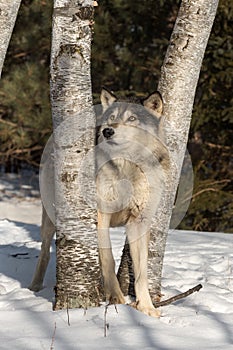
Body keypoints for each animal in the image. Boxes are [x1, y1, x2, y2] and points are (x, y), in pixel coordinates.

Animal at [30, 88, 170, 318]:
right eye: (111, 118)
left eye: (132, 119)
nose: (107, 131)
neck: (127, 168)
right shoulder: (101, 216)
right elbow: (108, 258)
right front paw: (116, 297)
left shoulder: (139, 222)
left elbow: (142, 272)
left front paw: (147, 308)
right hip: (50, 219)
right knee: (43, 251)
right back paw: (34, 287)